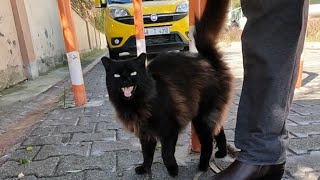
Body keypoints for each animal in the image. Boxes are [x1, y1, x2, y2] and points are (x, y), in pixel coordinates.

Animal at [102, 0, 232, 177]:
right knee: (219, 130)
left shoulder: (169, 129)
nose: (125, 79)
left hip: (202, 117)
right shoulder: (145, 134)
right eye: (116, 75)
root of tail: (209, 61)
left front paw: (173, 169)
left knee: (208, 143)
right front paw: (145, 168)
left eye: (133, 72)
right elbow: (147, 154)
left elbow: (166, 152)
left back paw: (203, 167)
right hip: (209, 114)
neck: (137, 103)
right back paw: (221, 153)